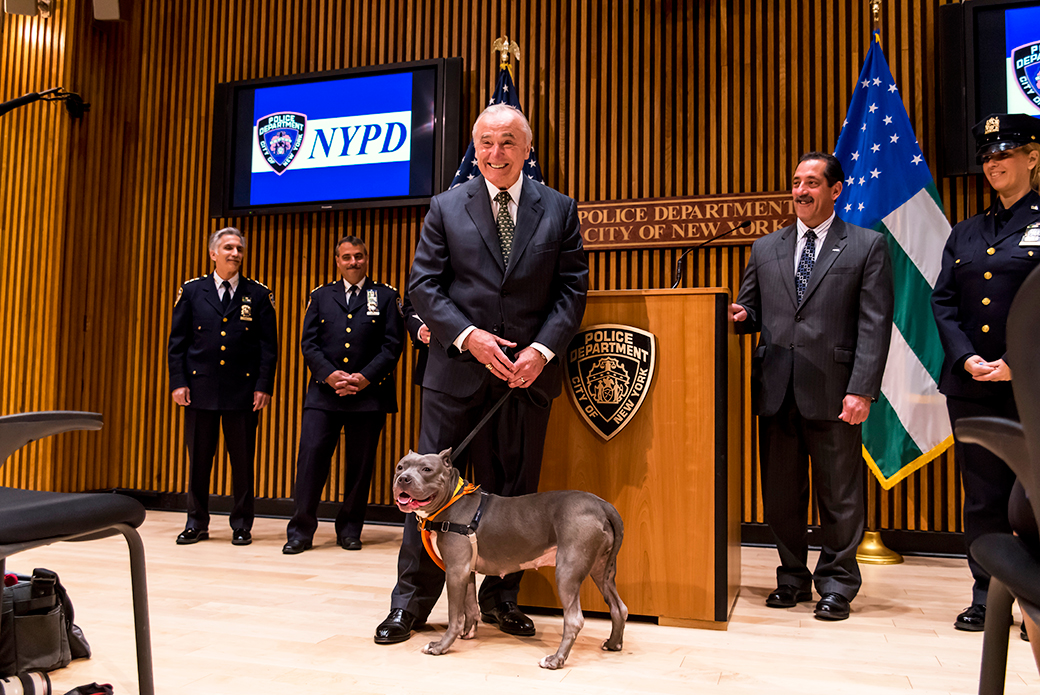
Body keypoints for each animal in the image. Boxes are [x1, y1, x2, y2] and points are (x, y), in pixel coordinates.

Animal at [391, 447, 624, 670]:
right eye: (400, 467)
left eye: (427, 469)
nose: (403, 479)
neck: (450, 500)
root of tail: (602, 505)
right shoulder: (466, 571)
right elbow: (470, 607)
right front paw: (468, 633)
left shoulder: (455, 570)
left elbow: (454, 616)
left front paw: (441, 646)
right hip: (602, 570)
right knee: (618, 607)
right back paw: (613, 644)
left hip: (568, 571)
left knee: (574, 619)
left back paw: (555, 660)